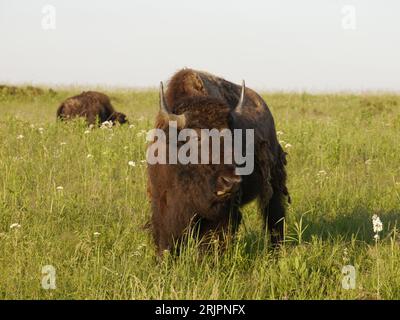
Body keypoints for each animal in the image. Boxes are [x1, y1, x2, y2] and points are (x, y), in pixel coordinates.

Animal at [148, 69, 290, 256]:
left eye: (232, 138)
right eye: (196, 137)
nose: (230, 182)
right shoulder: (163, 203)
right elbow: (165, 240)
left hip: (273, 184)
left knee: (274, 216)